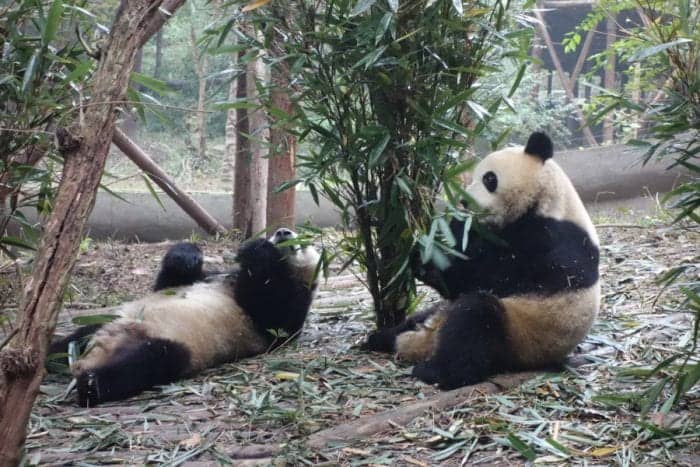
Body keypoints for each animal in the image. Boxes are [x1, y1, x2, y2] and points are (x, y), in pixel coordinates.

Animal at [50, 228, 320, 406]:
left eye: (306, 242)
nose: (283, 231)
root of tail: (100, 349)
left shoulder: (290, 304)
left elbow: (274, 316)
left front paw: (258, 250)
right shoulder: (207, 277)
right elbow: (169, 281)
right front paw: (187, 255)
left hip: (176, 346)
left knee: (143, 363)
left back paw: (90, 384)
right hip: (103, 322)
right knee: (68, 342)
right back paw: (51, 360)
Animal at [363, 132, 600, 390]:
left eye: (489, 178)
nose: (464, 203)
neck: (548, 199)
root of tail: (426, 340)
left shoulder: (551, 239)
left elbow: (486, 278)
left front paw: (428, 253)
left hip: (520, 336)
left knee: (475, 319)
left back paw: (434, 372)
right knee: (422, 317)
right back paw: (380, 338)